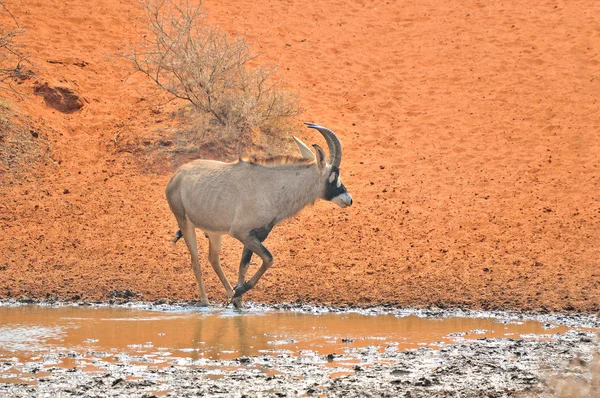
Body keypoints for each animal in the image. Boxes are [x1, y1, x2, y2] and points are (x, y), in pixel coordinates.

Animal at [164, 122, 352, 308]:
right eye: (334, 176)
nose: (349, 199)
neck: (272, 186)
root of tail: (177, 175)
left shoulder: (256, 236)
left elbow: (244, 265)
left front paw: (238, 300)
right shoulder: (241, 233)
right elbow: (269, 259)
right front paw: (239, 291)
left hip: (214, 232)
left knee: (214, 259)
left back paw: (229, 294)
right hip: (185, 223)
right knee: (195, 260)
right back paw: (205, 301)